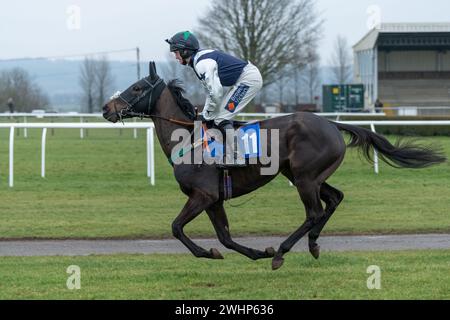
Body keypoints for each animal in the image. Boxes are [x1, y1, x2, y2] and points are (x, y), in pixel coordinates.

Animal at [103, 63, 446, 270]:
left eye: (137, 88)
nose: (107, 108)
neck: (187, 138)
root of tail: (331, 123)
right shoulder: (214, 199)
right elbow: (225, 238)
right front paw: (252, 252)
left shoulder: (202, 195)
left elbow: (176, 227)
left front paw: (212, 253)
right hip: (305, 175)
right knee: (334, 199)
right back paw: (312, 244)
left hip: (305, 178)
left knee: (314, 212)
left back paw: (283, 251)